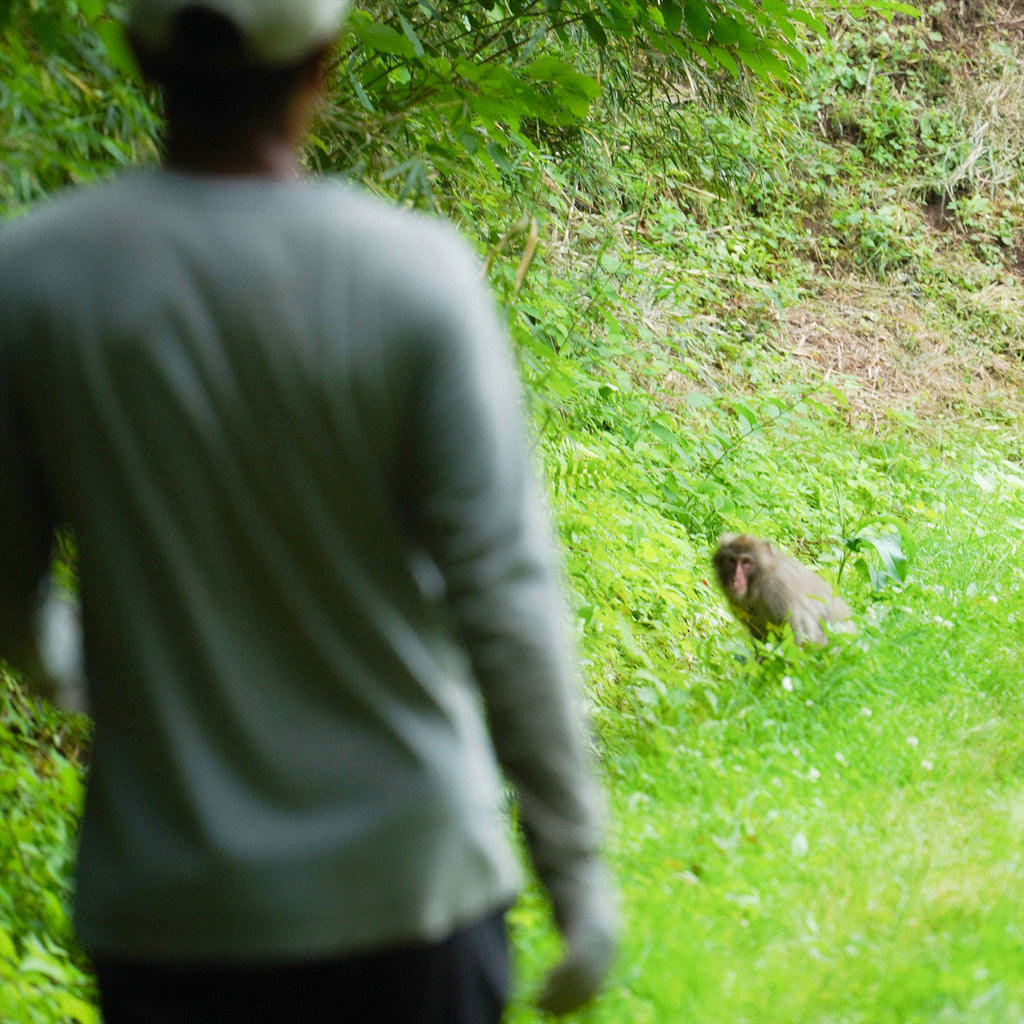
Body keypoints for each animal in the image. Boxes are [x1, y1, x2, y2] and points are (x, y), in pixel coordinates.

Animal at [712, 532, 856, 643]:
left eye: (746, 562)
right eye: (731, 560)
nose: (734, 579)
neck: (759, 585)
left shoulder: (779, 591)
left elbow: (801, 635)